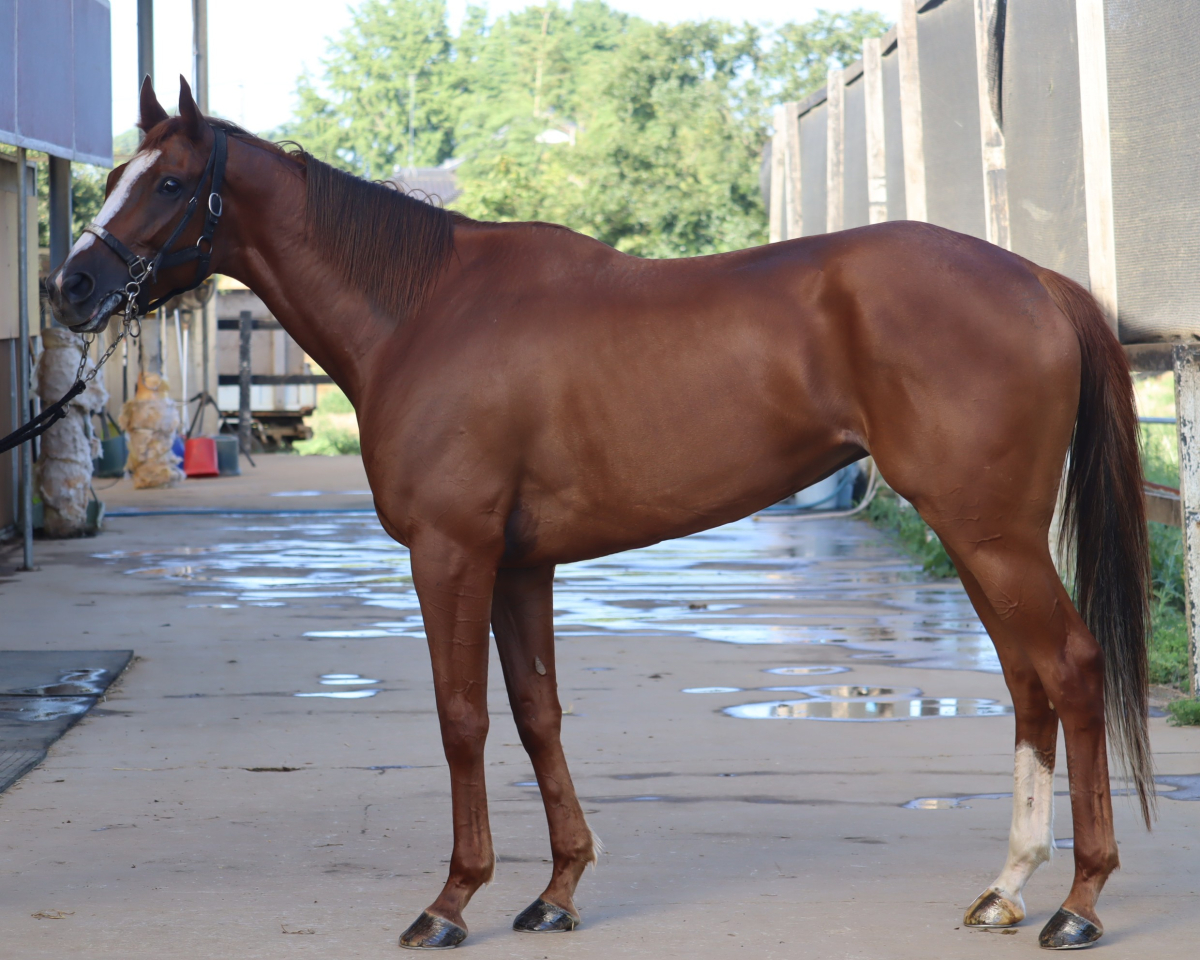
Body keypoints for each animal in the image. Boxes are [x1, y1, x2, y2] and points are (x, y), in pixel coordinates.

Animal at [47, 77, 1152, 951]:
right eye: (112, 179)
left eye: (171, 184)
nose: (71, 285)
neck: (424, 310)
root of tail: (1038, 281)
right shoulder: (518, 564)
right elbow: (537, 713)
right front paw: (557, 890)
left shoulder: (451, 554)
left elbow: (461, 716)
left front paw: (451, 902)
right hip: (979, 536)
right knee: (1027, 684)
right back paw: (1007, 889)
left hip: (989, 534)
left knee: (1071, 668)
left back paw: (1079, 903)